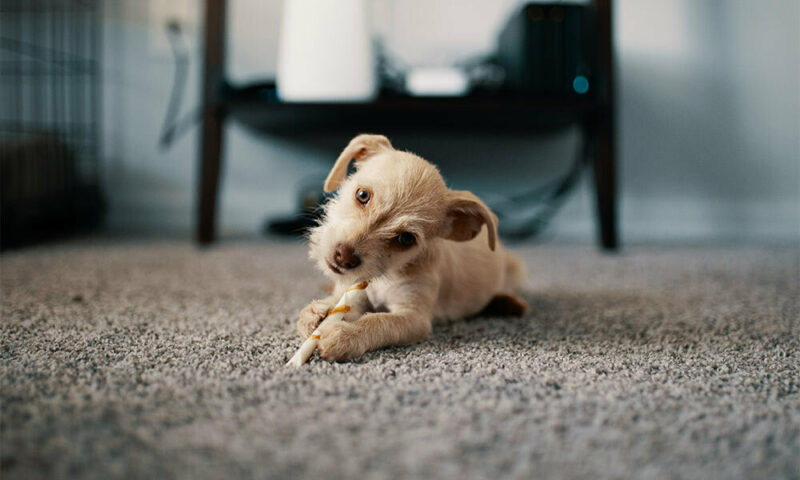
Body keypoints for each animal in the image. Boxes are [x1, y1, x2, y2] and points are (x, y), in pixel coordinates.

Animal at [296, 134, 528, 360]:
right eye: (362, 195)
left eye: (406, 239)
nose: (343, 258)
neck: (386, 276)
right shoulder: (354, 293)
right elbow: (337, 304)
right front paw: (317, 312)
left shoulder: (414, 318)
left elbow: (378, 322)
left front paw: (344, 335)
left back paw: (507, 303)